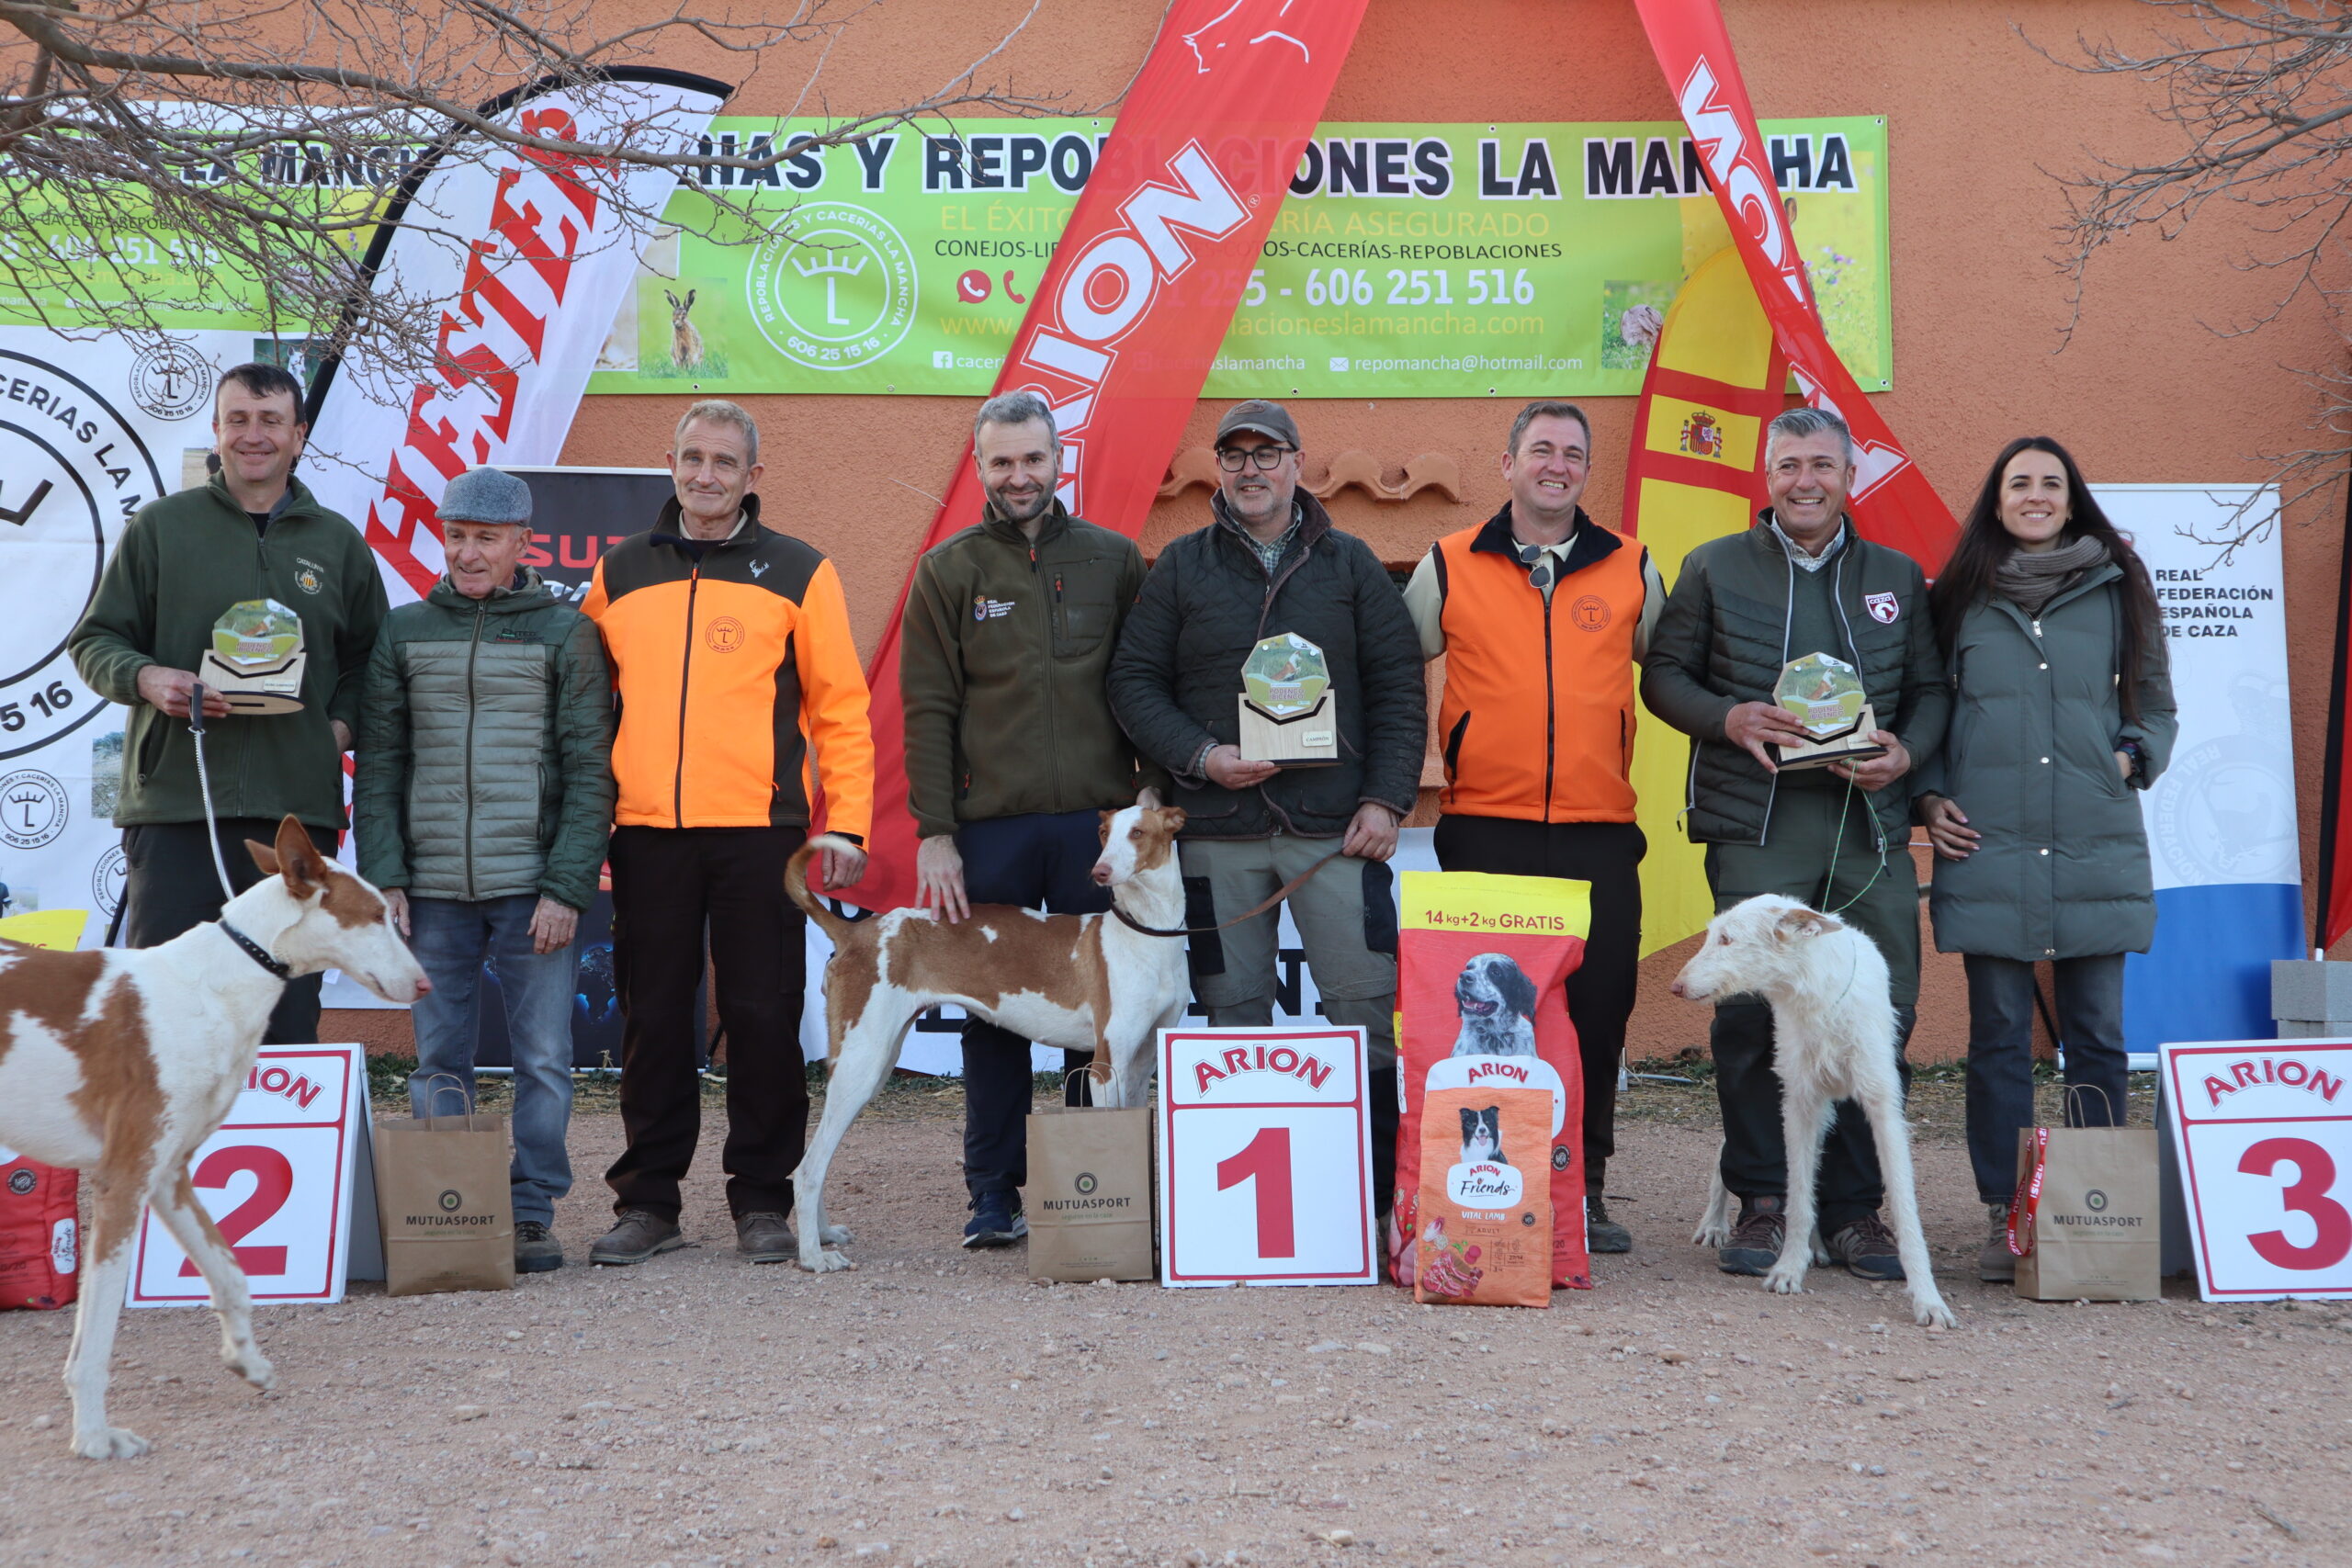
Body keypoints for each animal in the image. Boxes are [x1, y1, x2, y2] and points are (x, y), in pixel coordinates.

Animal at [0, 822, 433, 1457]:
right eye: (377, 916)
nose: (426, 984)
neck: (213, 983)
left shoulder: (170, 1175)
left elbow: (231, 1272)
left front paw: (247, 1361)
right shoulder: (124, 1179)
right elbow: (96, 1335)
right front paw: (95, 1436)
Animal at [790, 799, 1194, 1279]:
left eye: (1137, 833)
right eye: (1103, 833)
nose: (1100, 871)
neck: (1146, 934)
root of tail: (856, 931)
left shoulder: (1139, 1065)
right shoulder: (1105, 1067)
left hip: (873, 1060)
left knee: (814, 1160)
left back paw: (823, 1235)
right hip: (862, 1063)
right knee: (808, 1168)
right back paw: (813, 1255)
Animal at [1674, 893, 1966, 1325]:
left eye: (1727, 939)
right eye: (1711, 936)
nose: (1676, 987)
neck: (1818, 999)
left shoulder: (1883, 1107)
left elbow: (1905, 1208)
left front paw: (1929, 1299)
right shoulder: (1799, 1104)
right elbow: (1797, 1197)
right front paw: (1788, 1268)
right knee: (1730, 1152)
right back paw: (1715, 1223)